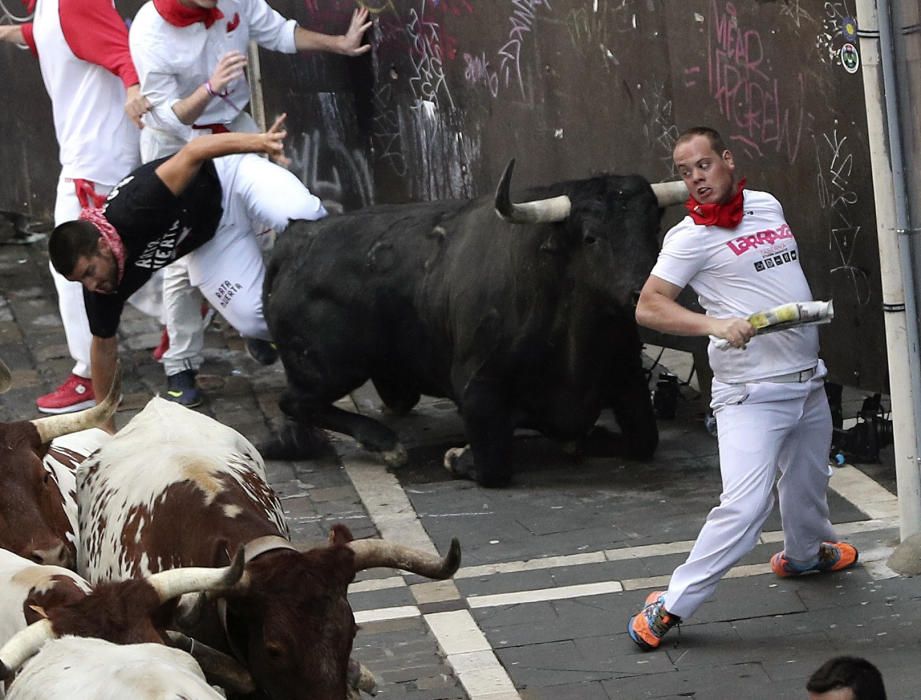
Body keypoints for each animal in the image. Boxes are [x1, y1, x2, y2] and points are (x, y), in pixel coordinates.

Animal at [260, 160, 684, 486]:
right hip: (331, 366)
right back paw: (384, 443)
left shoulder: (628, 378)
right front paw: (459, 456)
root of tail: (297, 236)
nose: (642, 293)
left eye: (653, 229)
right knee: (296, 401)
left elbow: (644, 440)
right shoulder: (478, 386)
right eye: (591, 237)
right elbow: (494, 466)